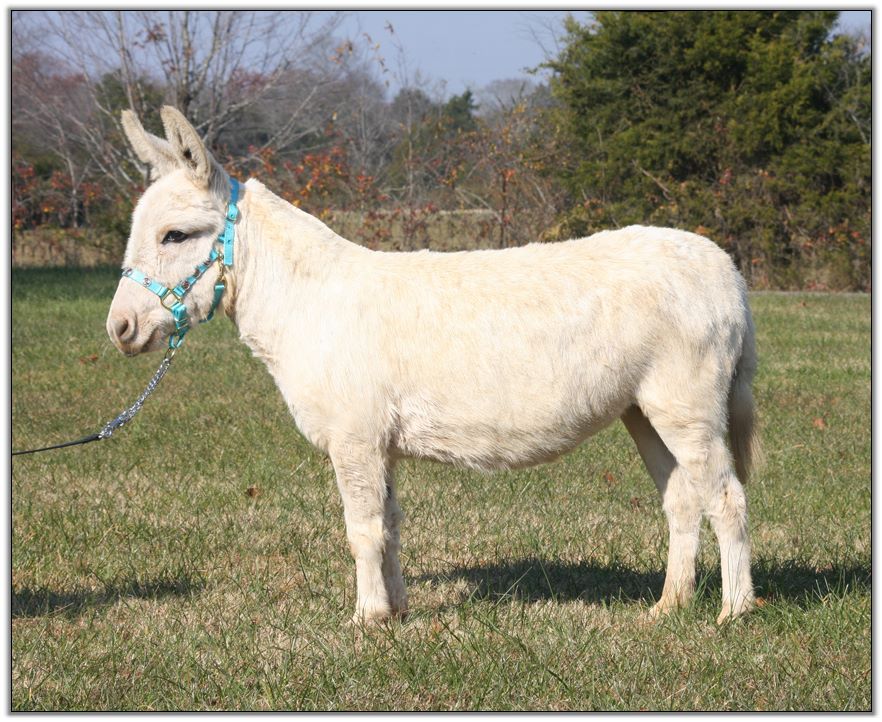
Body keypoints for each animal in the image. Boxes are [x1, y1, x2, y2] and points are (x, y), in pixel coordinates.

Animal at [107, 106, 760, 625]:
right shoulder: (379, 446)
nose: (119, 329)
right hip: (642, 411)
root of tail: (725, 269)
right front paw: (396, 612)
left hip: (687, 406)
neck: (307, 302)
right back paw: (669, 606)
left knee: (726, 498)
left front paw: (365, 621)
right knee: (683, 499)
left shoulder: (355, 439)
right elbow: (390, 526)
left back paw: (733, 612)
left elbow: (362, 529)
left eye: (174, 236)